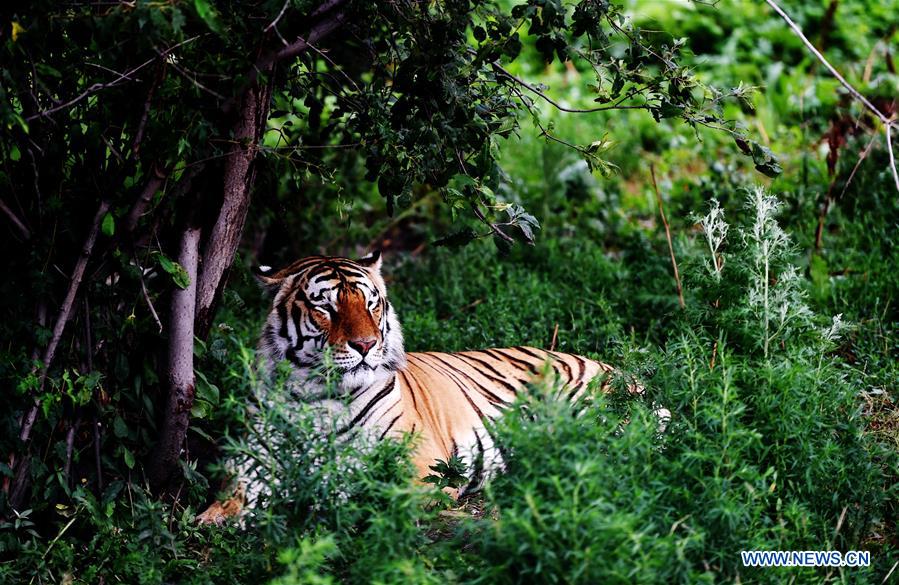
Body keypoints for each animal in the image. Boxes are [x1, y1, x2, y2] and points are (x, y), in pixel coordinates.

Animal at [197, 252, 660, 524]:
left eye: (370, 304)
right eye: (326, 306)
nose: (365, 345)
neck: (317, 395)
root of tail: (619, 370)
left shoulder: (415, 463)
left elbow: (370, 489)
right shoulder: (253, 460)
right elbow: (232, 496)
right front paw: (209, 520)